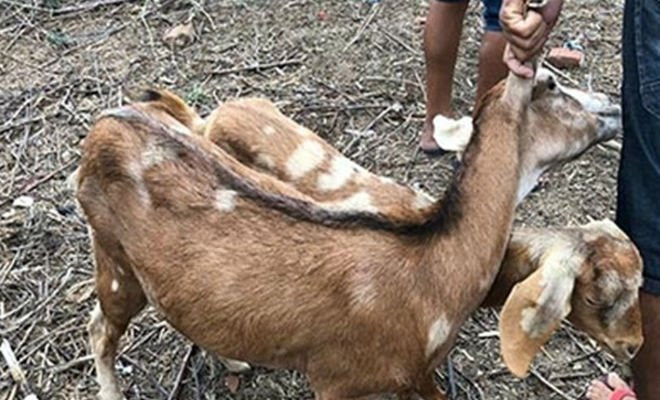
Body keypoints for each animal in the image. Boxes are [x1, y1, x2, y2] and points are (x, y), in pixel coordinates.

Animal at [76, 73, 634, 400]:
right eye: (552, 85)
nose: (614, 105)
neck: (433, 271)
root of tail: (110, 118)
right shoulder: (336, 379)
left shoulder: (417, 371)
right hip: (111, 254)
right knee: (100, 327)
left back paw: (235, 358)